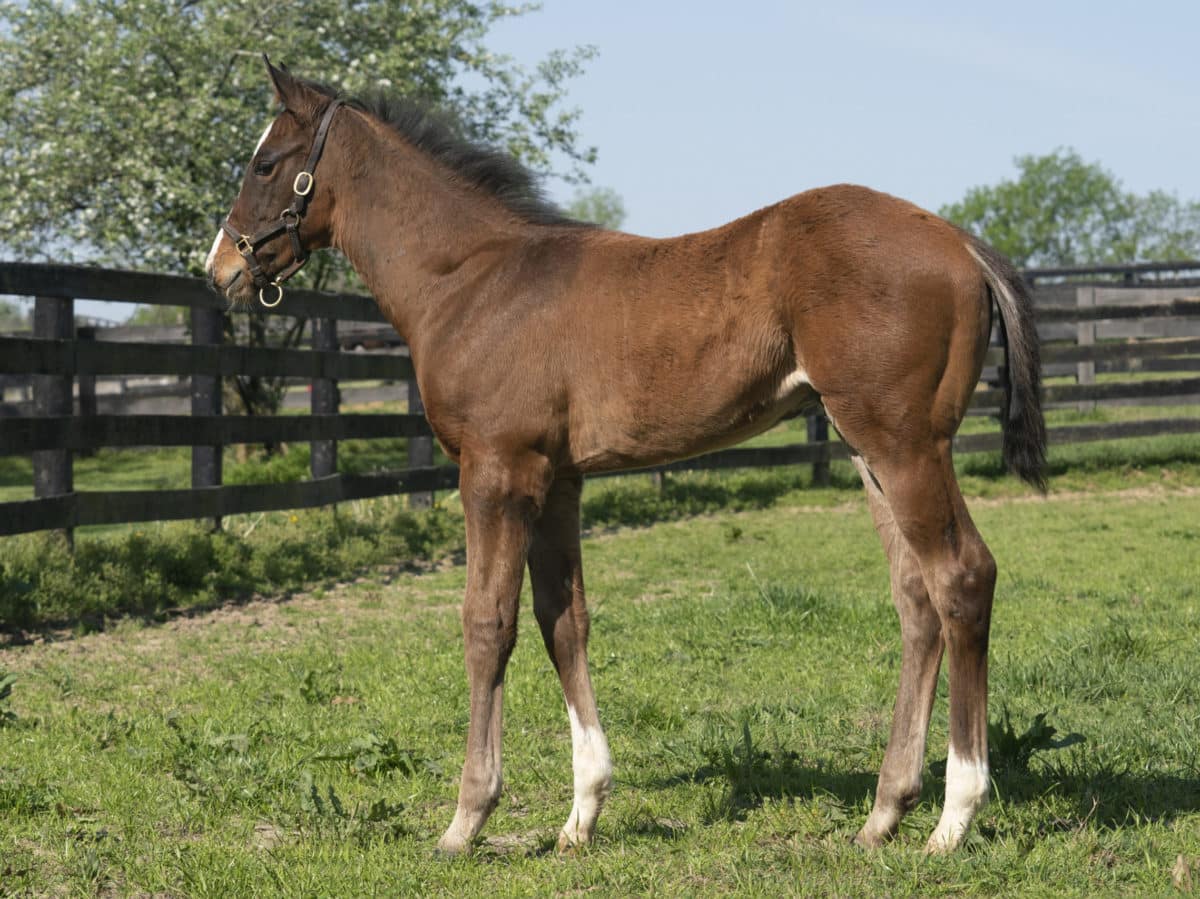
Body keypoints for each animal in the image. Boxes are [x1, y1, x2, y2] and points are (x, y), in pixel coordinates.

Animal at [208, 59, 1051, 854]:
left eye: (264, 163)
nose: (222, 267)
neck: (473, 280)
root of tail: (960, 240)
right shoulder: (557, 480)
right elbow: (563, 620)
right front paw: (580, 815)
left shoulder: (497, 470)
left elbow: (488, 622)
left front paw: (467, 818)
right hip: (867, 448)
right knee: (916, 599)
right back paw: (883, 813)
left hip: (906, 443)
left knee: (962, 577)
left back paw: (953, 818)